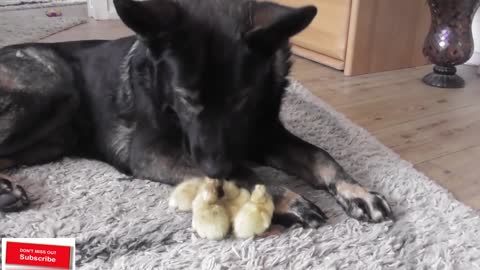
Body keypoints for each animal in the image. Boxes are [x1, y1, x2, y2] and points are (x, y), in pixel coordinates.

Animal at [0, 0, 394, 226]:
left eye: (241, 99)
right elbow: (244, 173)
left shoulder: (265, 135)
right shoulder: (154, 152)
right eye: (186, 98)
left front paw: (357, 191)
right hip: (56, 83)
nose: (216, 166)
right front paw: (286, 198)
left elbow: (321, 156)